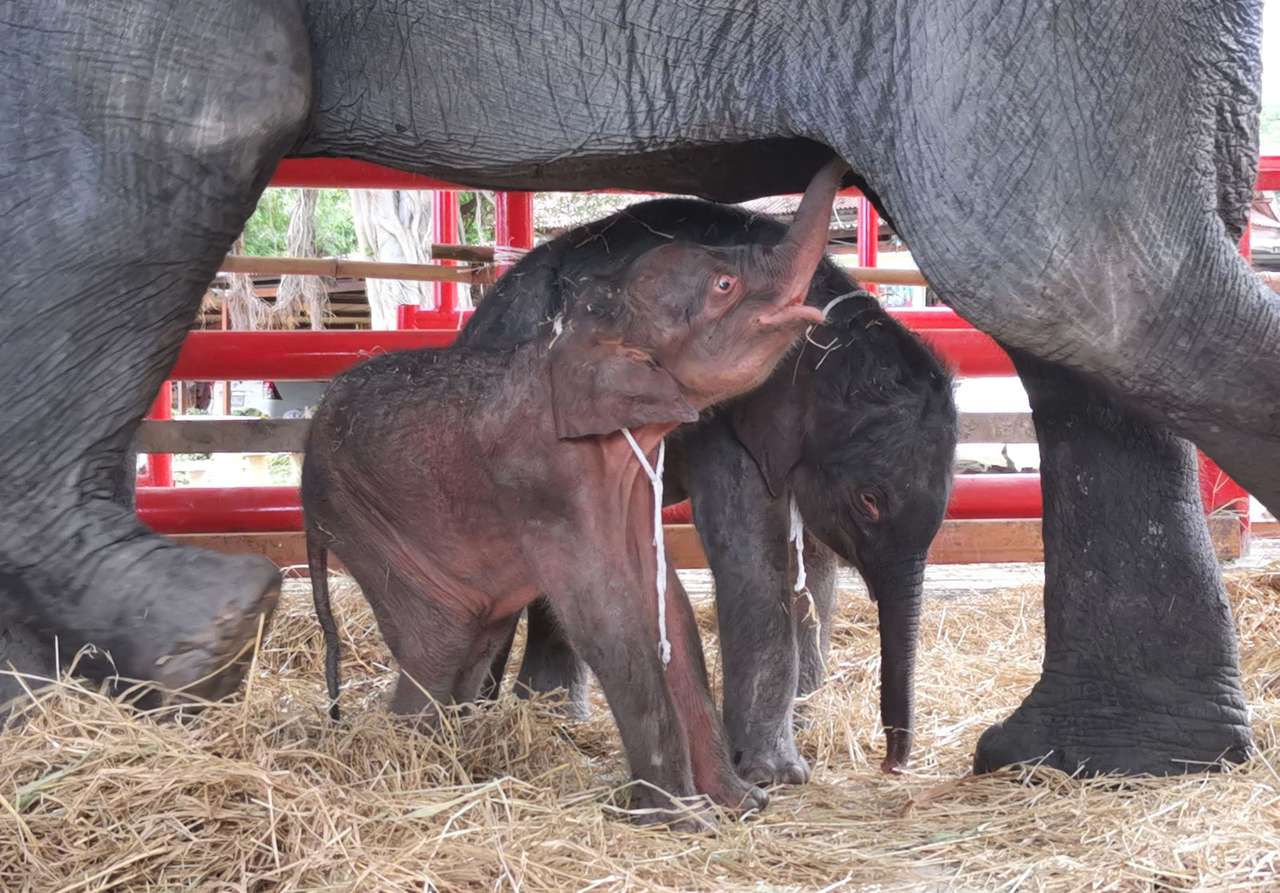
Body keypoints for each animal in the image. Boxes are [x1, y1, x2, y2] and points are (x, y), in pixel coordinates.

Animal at [302, 158, 849, 818]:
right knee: (439, 646)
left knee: (474, 638)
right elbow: (606, 612)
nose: (839, 163)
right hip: (368, 526)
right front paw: (682, 818)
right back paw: (413, 766)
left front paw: (740, 804)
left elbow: (667, 604)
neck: (582, 335)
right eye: (724, 286)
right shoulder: (547, 479)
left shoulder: (630, 471)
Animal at [471, 199, 962, 777]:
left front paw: (803, 728)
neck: (827, 330)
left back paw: (552, 721)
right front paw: (777, 774)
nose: (891, 765)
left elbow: (809, 560)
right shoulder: (722, 416)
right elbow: (748, 546)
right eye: (870, 502)